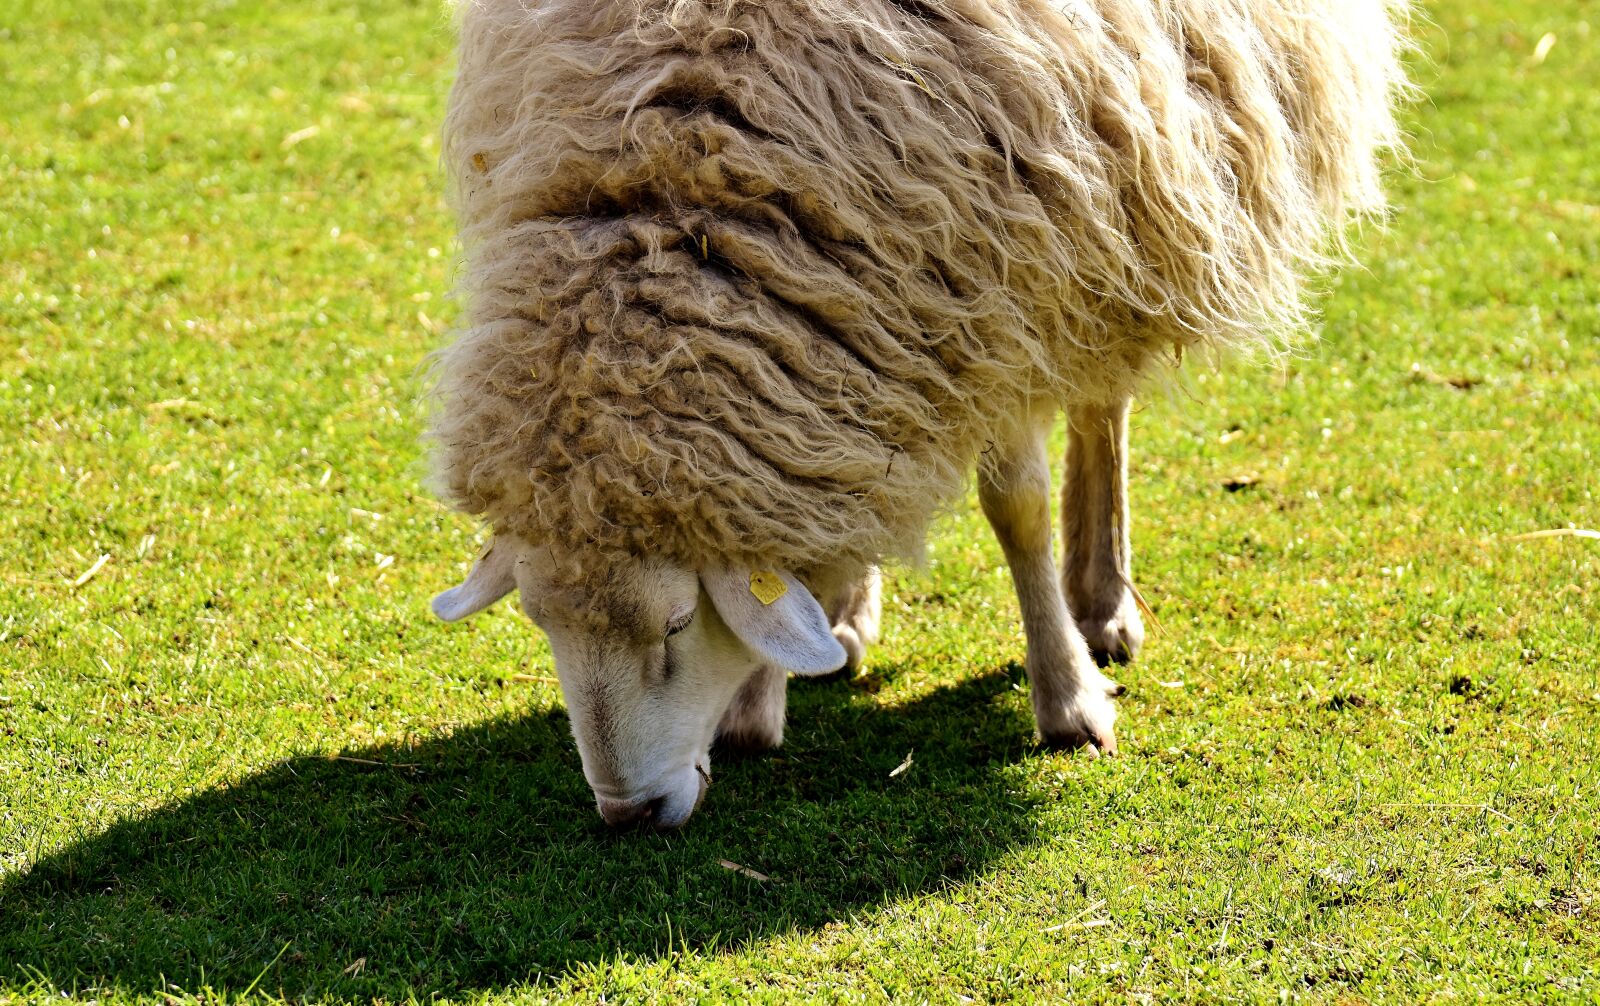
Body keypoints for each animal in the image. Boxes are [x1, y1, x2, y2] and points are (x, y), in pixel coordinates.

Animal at [427, 0, 1409, 829]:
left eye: (674, 624)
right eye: (540, 625)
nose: (628, 816)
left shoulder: (1004, 288)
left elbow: (1018, 509)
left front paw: (1068, 701)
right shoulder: (879, 311)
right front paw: (765, 693)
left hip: (1129, 200)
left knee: (1101, 403)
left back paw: (1100, 602)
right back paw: (851, 610)